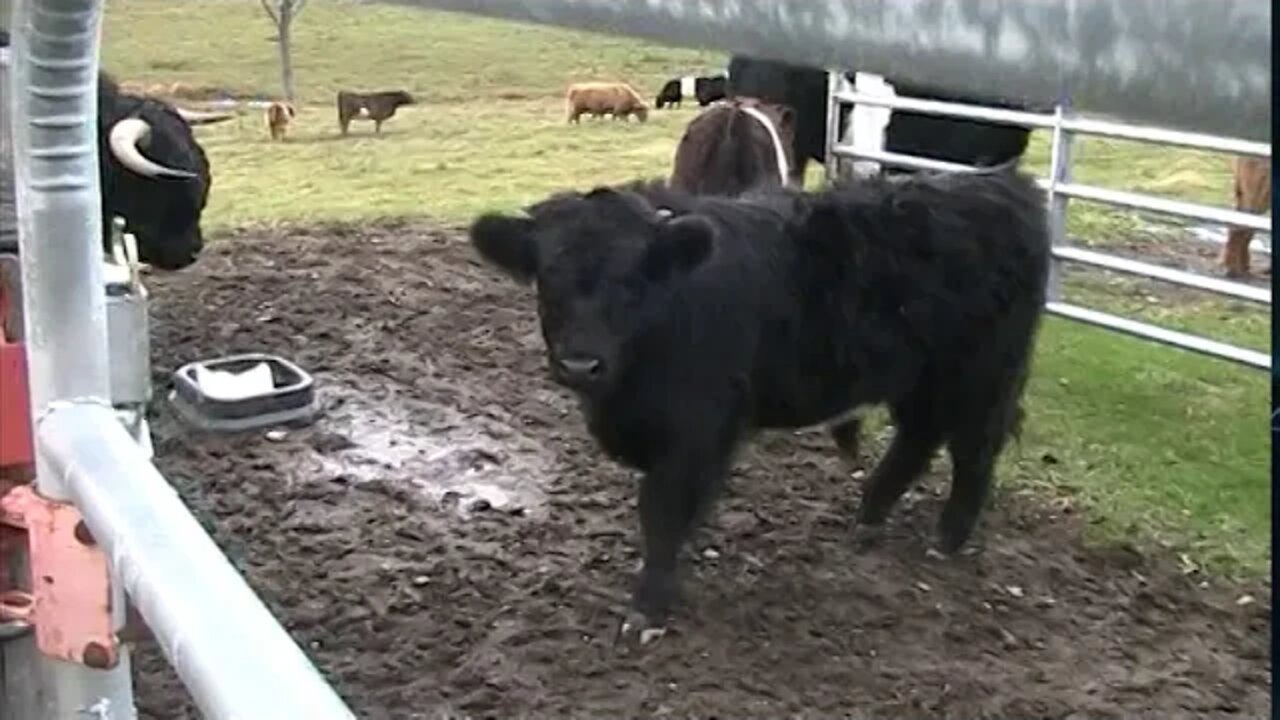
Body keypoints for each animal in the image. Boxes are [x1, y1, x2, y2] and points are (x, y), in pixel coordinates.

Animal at [471, 163, 1049, 638]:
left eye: (633, 281)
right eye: (548, 279)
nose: (580, 365)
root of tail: (1002, 183)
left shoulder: (697, 432)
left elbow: (661, 511)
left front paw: (648, 608)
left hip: (980, 376)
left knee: (972, 452)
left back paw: (945, 540)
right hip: (921, 379)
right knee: (918, 438)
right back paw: (868, 519)